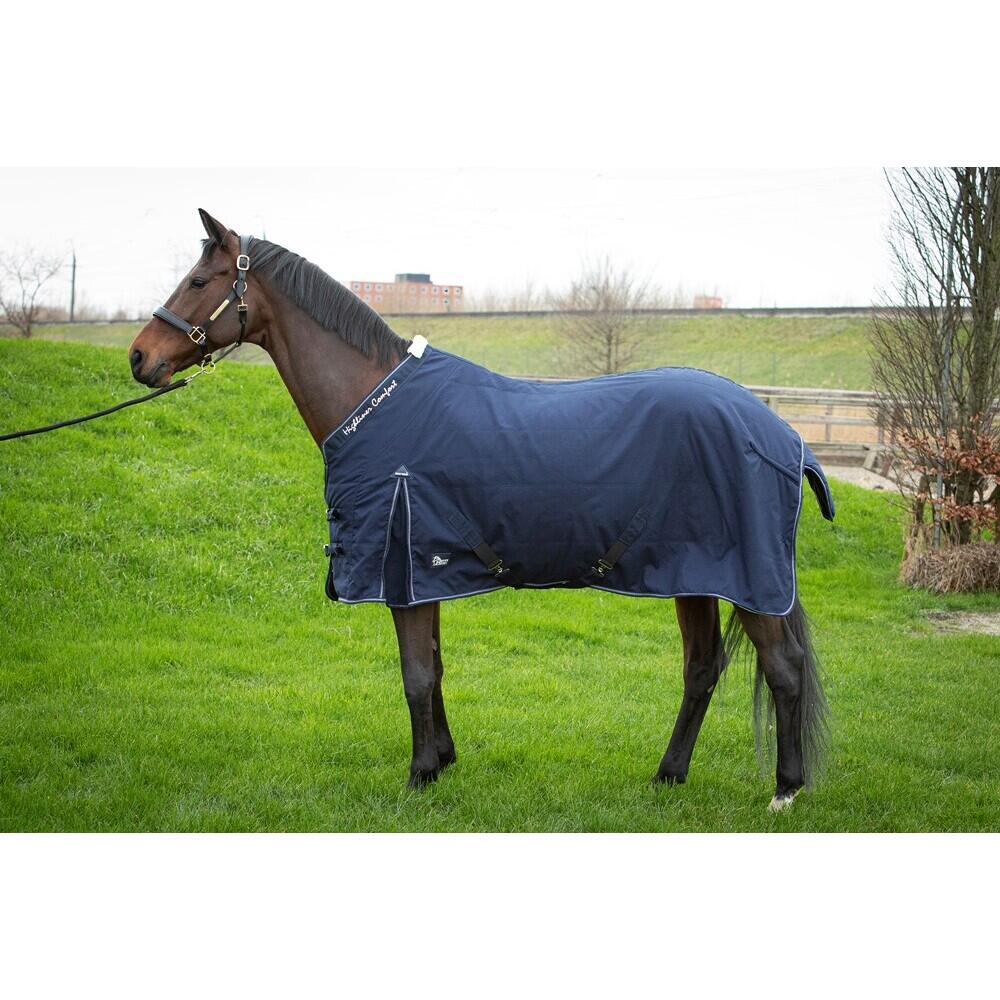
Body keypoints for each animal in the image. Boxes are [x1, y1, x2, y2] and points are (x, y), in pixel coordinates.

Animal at [128, 209, 832, 812]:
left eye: (198, 281)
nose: (140, 357)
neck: (375, 401)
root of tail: (780, 433)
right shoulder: (422, 572)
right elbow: (435, 667)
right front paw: (442, 760)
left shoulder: (403, 568)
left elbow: (415, 673)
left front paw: (417, 777)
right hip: (693, 577)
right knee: (702, 668)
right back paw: (669, 774)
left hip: (750, 580)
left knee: (783, 670)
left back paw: (784, 790)